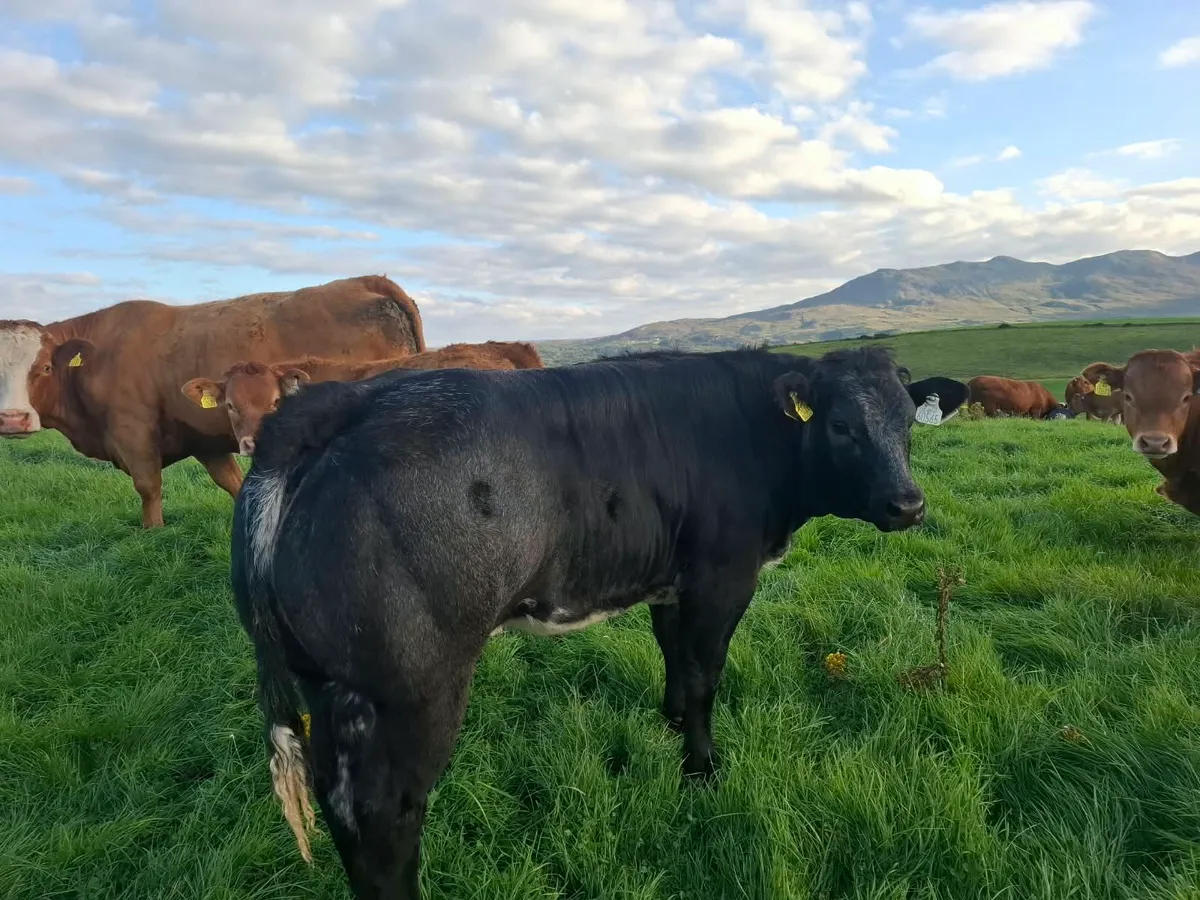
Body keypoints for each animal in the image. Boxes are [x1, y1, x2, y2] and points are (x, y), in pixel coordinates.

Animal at [0, 275, 424, 527]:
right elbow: (233, 484)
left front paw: (153, 534)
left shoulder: (132, 432)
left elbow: (148, 488)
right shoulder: (204, 440)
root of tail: (370, 281)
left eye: (44, 367)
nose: (13, 420)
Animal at [230, 345, 926, 899]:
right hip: (407, 686)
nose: (909, 504)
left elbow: (672, 651)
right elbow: (705, 673)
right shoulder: (721, 579)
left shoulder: (670, 579)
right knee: (381, 814)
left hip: (329, 682)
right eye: (841, 425)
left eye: (907, 423)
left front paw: (671, 721)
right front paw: (701, 771)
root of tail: (335, 403)